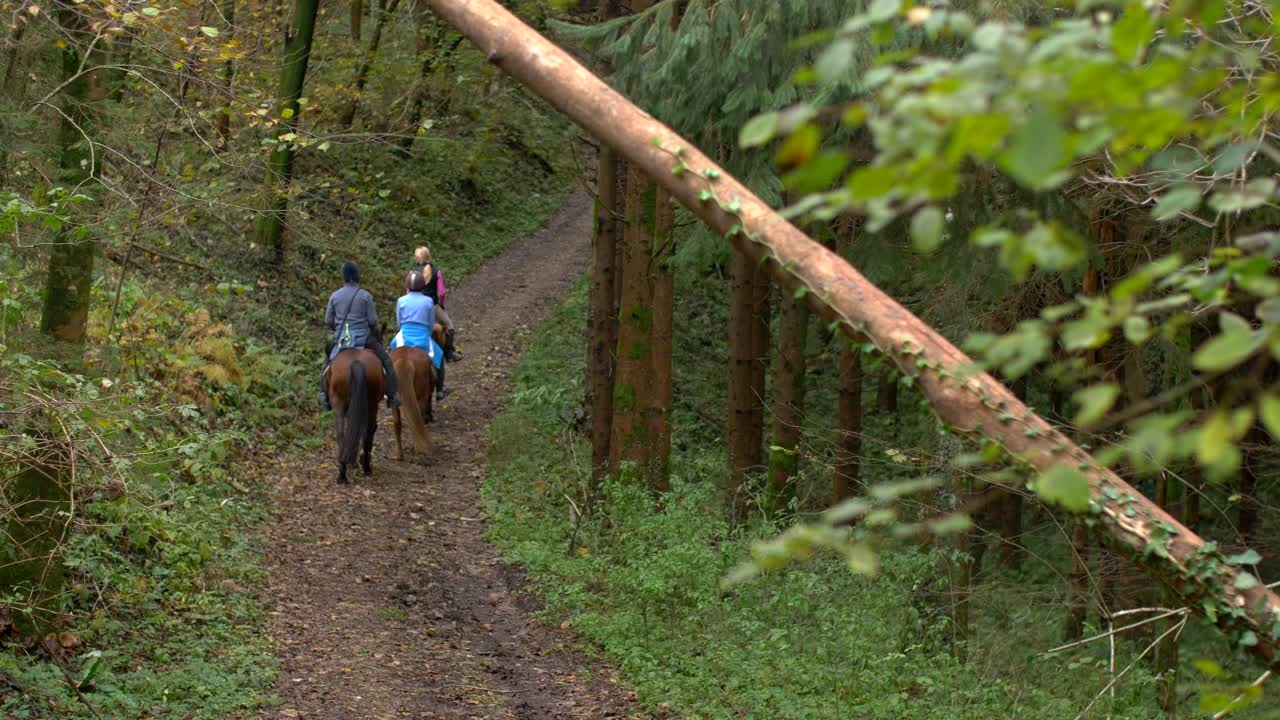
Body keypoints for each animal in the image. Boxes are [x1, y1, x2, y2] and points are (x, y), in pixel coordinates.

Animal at [325, 348, 385, 484]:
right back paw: (365, 467)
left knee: (341, 435)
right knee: (367, 432)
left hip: (340, 404)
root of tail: (356, 362)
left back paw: (342, 473)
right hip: (371, 405)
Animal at [390, 322, 446, 461]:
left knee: (397, 424)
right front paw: (430, 417)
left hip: (395, 401)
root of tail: (404, 360)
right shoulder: (428, 392)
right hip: (420, 396)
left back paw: (399, 454)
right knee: (418, 419)